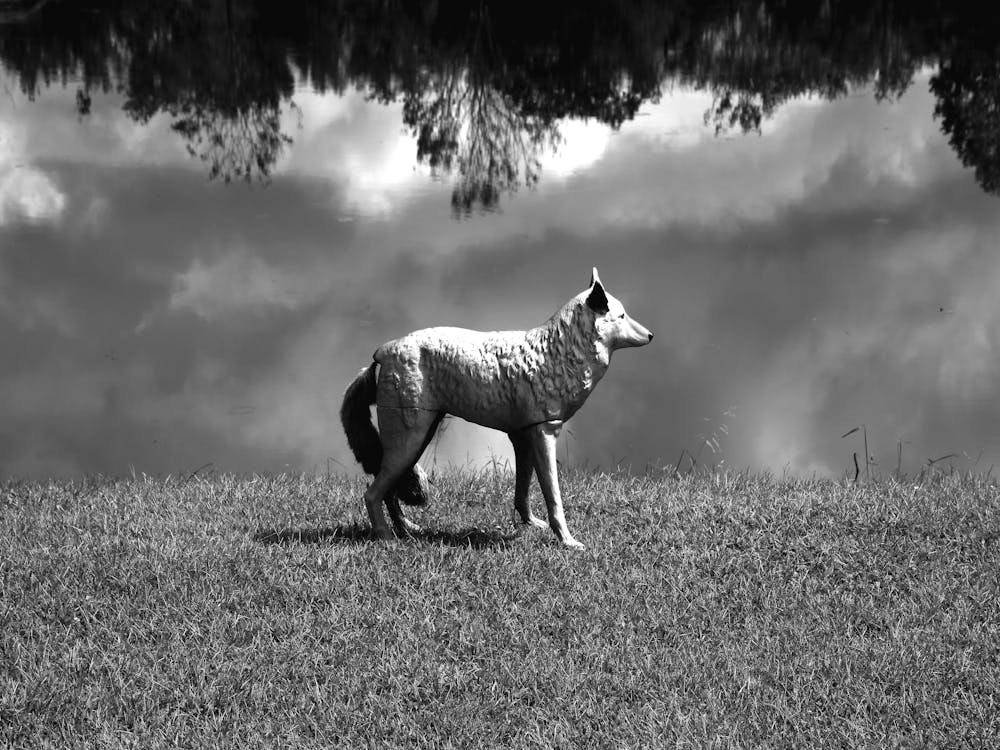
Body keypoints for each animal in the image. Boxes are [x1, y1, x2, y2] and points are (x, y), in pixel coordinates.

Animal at [340, 268, 653, 549]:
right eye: (621, 316)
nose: (650, 335)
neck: (559, 352)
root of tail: (384, 349)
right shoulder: (544, 433)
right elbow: (553, 497)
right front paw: (567, 541)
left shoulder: (524, 436)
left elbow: (523, 490)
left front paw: (530, 523)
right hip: (409, 439)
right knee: (372, 493)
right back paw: (385, 536)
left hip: (417, 438)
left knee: (388, 492)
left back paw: (407, 528)